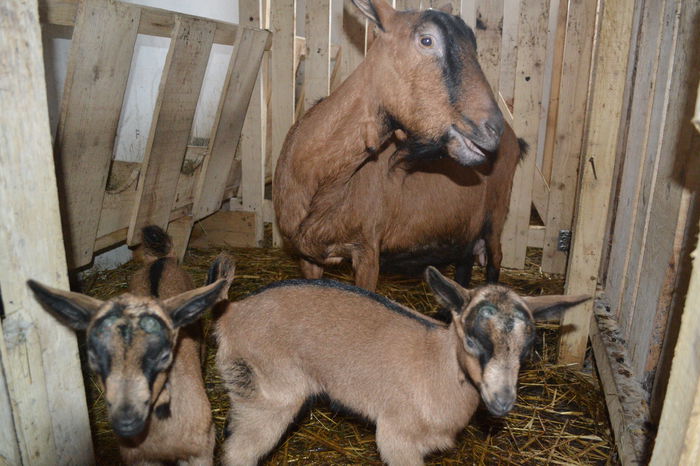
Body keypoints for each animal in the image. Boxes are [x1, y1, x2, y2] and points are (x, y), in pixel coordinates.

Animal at [270, 0, 506, 292]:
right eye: (426, 40)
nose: (494, 129)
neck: (322, 178)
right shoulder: (308, 257)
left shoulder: (368, 251)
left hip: (496, 217)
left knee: (496, 258)